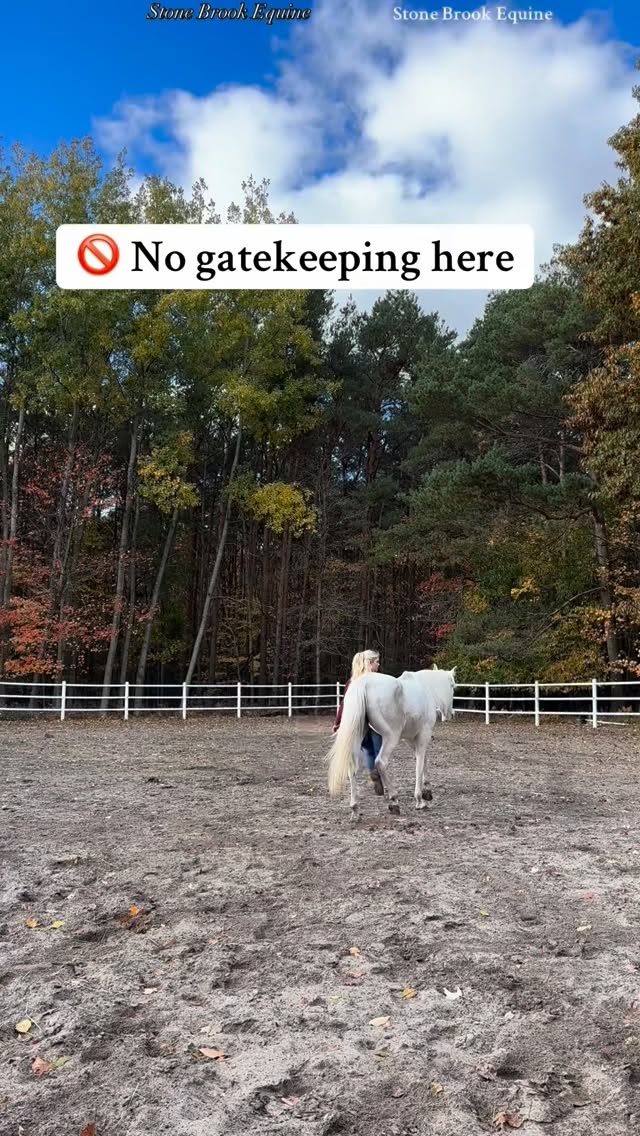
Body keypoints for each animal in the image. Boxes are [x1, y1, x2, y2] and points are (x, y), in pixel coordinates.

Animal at [327, 667, 456, 819]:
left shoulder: (411, 738)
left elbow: (423, 759)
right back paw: (394, 801)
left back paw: (355, 808)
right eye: (453, 686)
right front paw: (419, 799)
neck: (426, 688)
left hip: (359, 737)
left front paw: (427, 792)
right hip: (391, 737)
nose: (450, 714)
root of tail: (363, 684)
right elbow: (420, 763)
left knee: (352, 767)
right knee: (381, 762)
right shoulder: (424, 734)